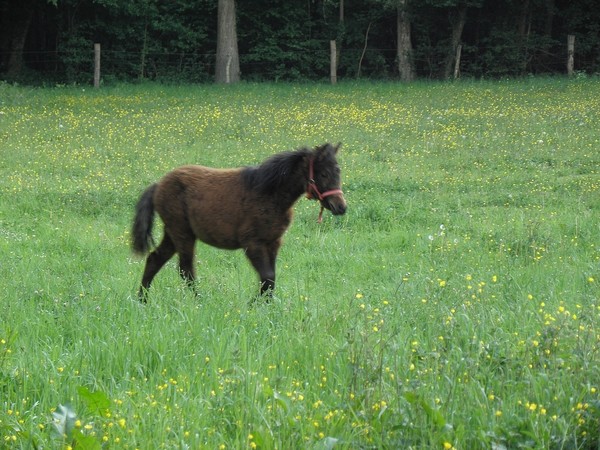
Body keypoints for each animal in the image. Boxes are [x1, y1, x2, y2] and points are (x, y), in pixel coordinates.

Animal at [131, 142, 346, 300]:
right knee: (186, 270)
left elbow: (271, 278)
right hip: (182, 233)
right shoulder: (252, 243)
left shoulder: (273, 242)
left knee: (154, 259)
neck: (269, 193)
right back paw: (199, 301)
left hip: (174, 233)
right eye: (324, 173)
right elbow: (267, 277)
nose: (341, 207)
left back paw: (143, 299)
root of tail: (158, 185)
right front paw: (254, 304)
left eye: (338, 172)